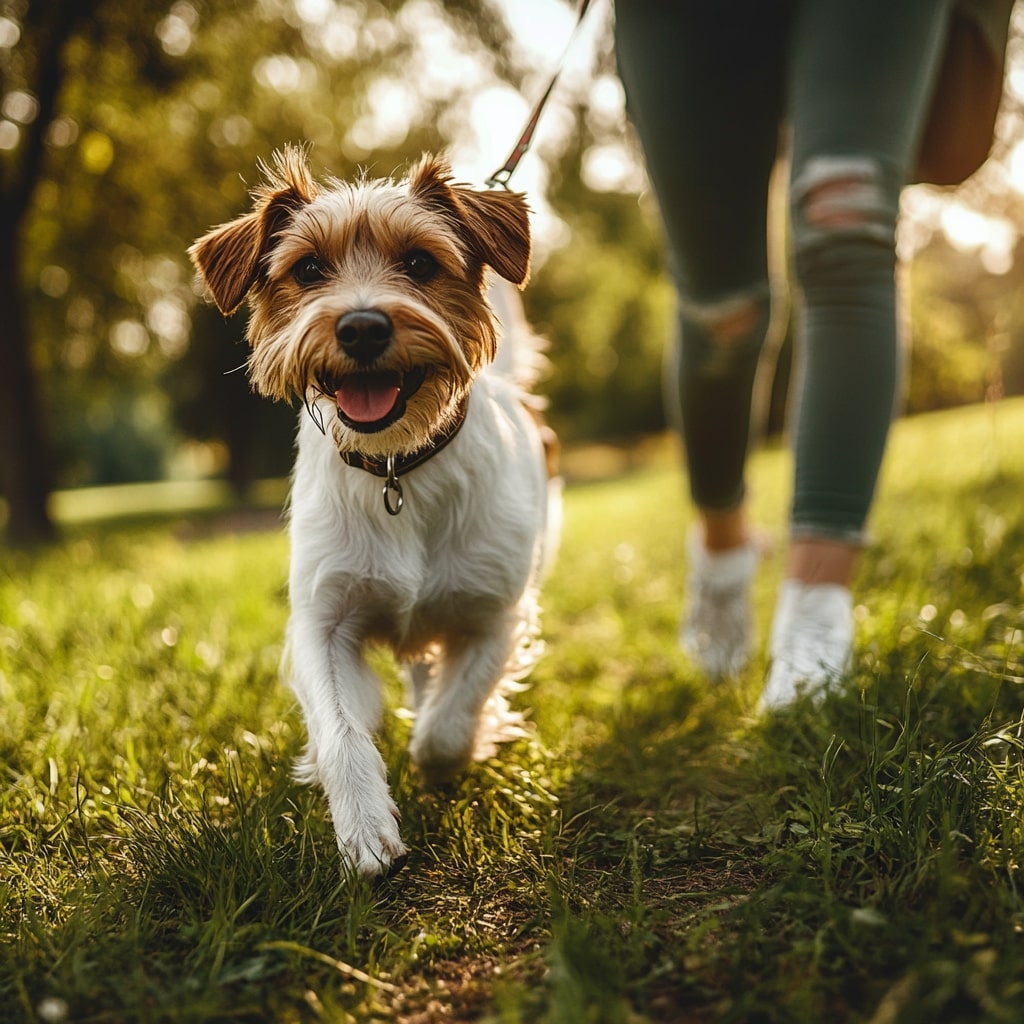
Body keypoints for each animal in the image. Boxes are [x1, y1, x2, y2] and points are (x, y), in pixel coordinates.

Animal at [191, 148, 561, 876]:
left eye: (419, 262)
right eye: (308, 269)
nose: (362, 325)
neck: (396, 466)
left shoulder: (497, 615)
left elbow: (450, 720)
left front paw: (450, 755)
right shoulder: (322, 621)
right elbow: (340, 729)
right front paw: (364, 825)